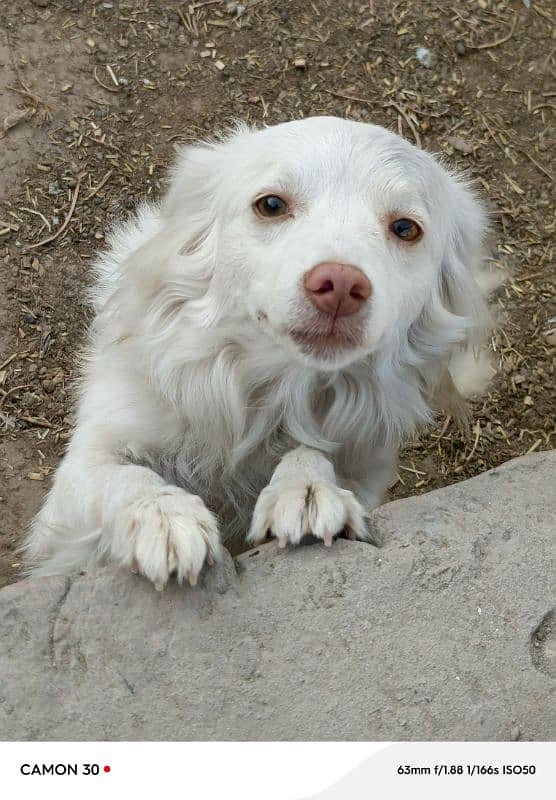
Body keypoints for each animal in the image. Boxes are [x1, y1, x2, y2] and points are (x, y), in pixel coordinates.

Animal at [25, 117, 496, 588]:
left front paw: (306, 489)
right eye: (271, 205)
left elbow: (310, 451)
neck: (270, 394)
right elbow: (122, 475)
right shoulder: (82, 470)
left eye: (405, 228)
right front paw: (162, 515)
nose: (341, 285)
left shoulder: (364, 471)